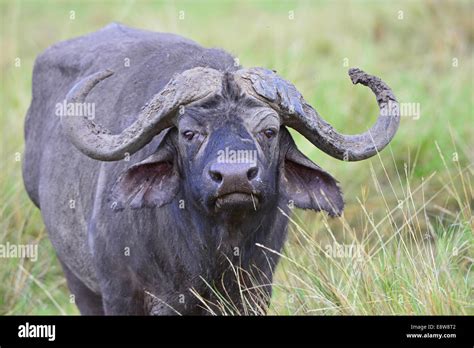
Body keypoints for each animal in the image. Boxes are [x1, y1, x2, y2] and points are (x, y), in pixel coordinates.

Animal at [23, 23, 400, 314]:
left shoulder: (256, 289)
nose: (234, 177)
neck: (212, 249)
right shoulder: (121, 292)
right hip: (77, 279)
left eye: (269, 131)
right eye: (189, 133)